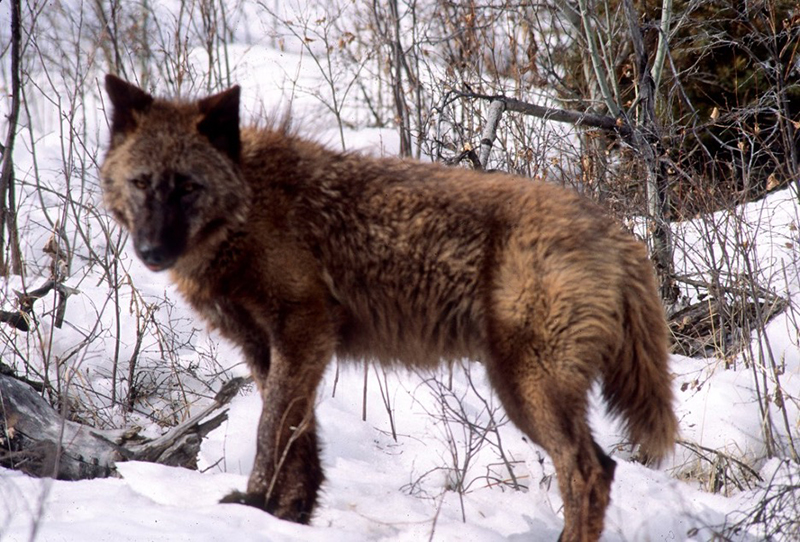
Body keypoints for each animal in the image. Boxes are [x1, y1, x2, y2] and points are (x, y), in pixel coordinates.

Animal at [100, 74, 677, 542]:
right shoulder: (269, 349)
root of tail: (614, 229)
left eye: (188, 186)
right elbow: (299, 439)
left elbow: (271, 431)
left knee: (588, 471)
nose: (151, 251)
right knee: (601, 467)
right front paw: (286, 518)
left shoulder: (304, 330)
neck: (249, 210)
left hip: (527, 389)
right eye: (142, 182)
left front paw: (253, 507)